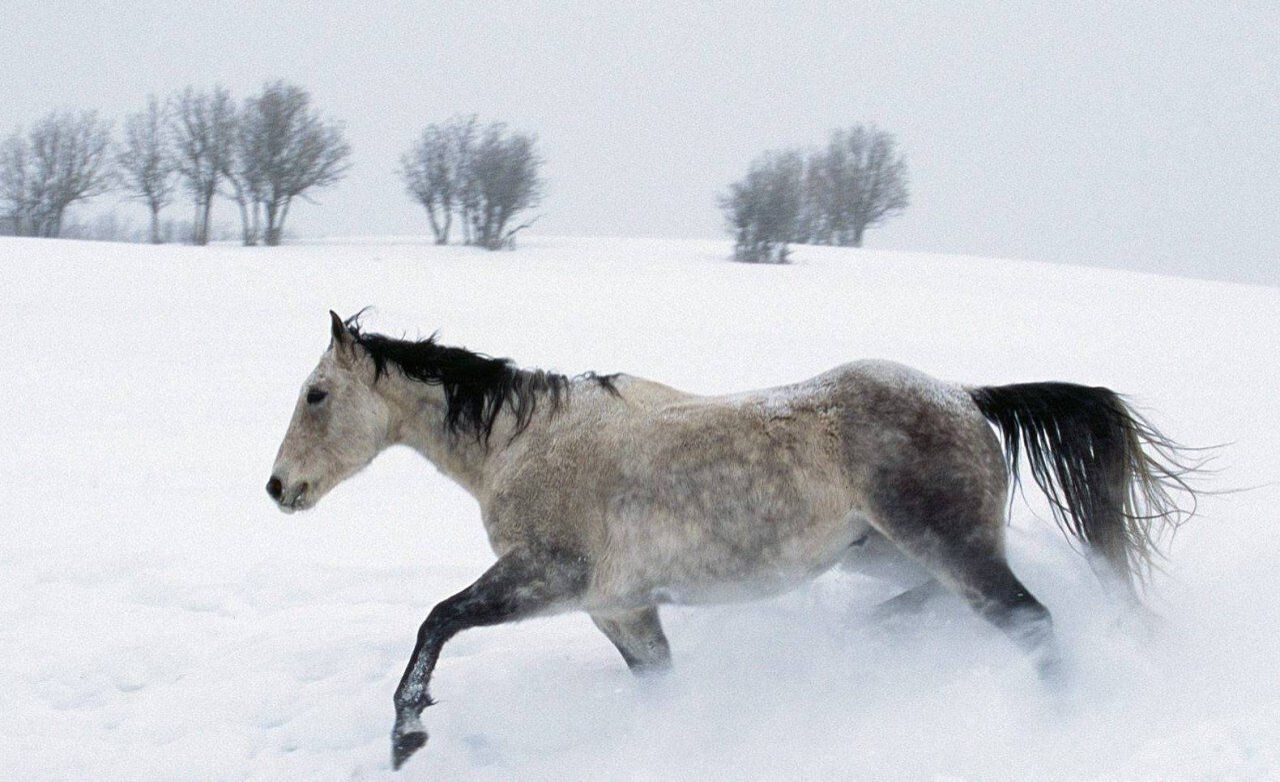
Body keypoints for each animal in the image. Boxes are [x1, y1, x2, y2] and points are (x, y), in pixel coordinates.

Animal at [264, 312, 1192, 773]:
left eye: (316, 394)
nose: (277, 488)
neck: (525, 443)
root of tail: (965, 396)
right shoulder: (621, 609)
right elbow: (660, 687)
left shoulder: (548, 578)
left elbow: (437, 620)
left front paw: (406, 736)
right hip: (888, 550)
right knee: (943, 602)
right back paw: (869, 638)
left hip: (949, 545)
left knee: (1033, 625)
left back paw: (1060, 730)